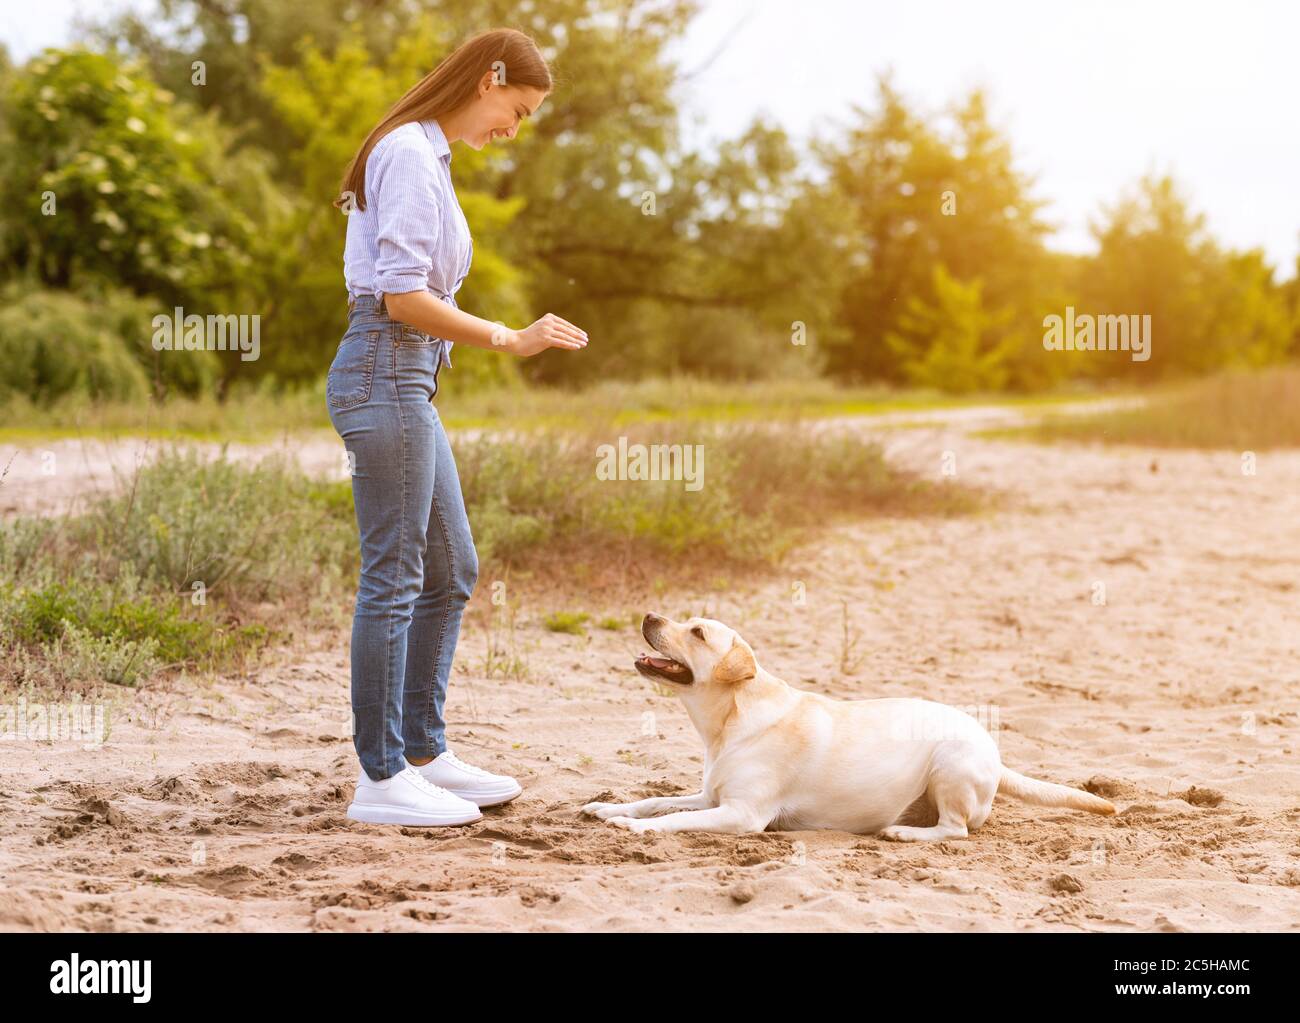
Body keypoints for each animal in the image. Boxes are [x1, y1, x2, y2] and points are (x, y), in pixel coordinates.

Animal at [582, 616, 1118, 842]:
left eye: (696, 633)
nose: (649, 613)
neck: (728, 719)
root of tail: (996, 754)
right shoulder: (710, 796)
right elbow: (657, 800)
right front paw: (609, 808)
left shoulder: (741, 814)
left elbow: (670, 821)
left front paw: (633, 827)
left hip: (951, 764)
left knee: (957, 830)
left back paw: (902, 834)